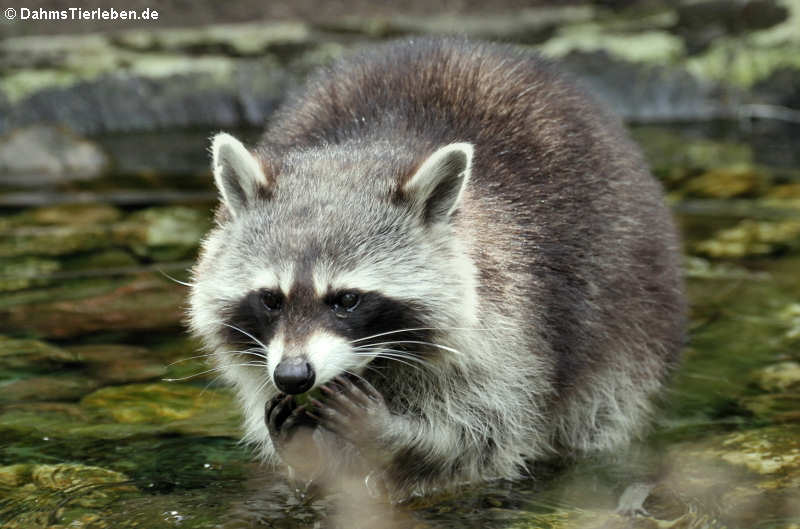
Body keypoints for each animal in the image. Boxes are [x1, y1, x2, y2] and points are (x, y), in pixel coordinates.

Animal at [186, 38, 680, 500]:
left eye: (347, 299)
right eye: (271, 298)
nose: (292, 376)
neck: (363, 150)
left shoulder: (509, 321)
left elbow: (481, 436)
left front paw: (391, 435)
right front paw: (305, 447)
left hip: (630, 314)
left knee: (598, 409)